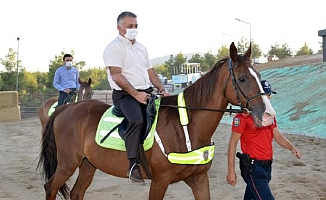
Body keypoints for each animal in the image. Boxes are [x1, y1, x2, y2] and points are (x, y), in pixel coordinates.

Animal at [37, 42, 274, 200]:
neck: (185, 126)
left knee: (76, 193)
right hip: (67, 164)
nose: (268, 114)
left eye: (258, 76)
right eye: (242, 78)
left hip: (88, 165)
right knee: (50, 187)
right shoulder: (160, 181)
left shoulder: (199, 179)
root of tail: (67, 108)